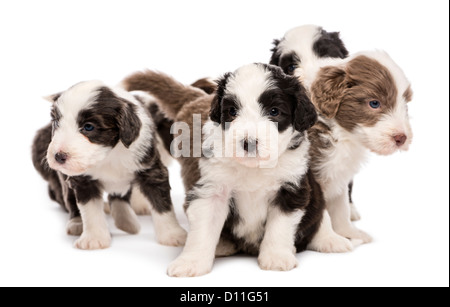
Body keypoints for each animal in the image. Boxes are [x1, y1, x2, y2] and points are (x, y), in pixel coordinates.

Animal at [31, 81, 185, 250]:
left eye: (89, 127)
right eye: (57, 122)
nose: (58, 156)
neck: (108, 154)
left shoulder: (151, 169)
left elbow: (162, 205)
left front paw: (173, 235)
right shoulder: (83, 180)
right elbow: (90, 210)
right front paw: (94, 238)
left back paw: (127, 221)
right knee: (69, 197)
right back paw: (77, 222)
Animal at [123, 63, 356, 278]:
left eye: (274, 111)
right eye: (232, 111)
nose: (249, 143)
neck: (254, 167)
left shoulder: (292, 190)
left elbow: (279, 228)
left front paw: (276, 257)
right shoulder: (213, 189)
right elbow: (203, 229)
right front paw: (191, 262)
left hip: (315, 193)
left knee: (320, 217)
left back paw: (331, 240)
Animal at [268, 25, 414, 244]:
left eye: (404, 103)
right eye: (374, 103)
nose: (401, 138)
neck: (337, 131)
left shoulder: (339, 173)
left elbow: (340, 207)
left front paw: (349, 232)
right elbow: (321, 211)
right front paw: (330, 240)